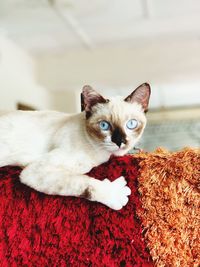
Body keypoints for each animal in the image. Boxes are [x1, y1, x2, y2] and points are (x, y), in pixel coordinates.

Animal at [0, 82, 150, 210]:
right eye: (104, 125)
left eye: (131, 124)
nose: (120, 142)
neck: (99, 153)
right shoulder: (36, 170)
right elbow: (84, 182)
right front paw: (116, 194)